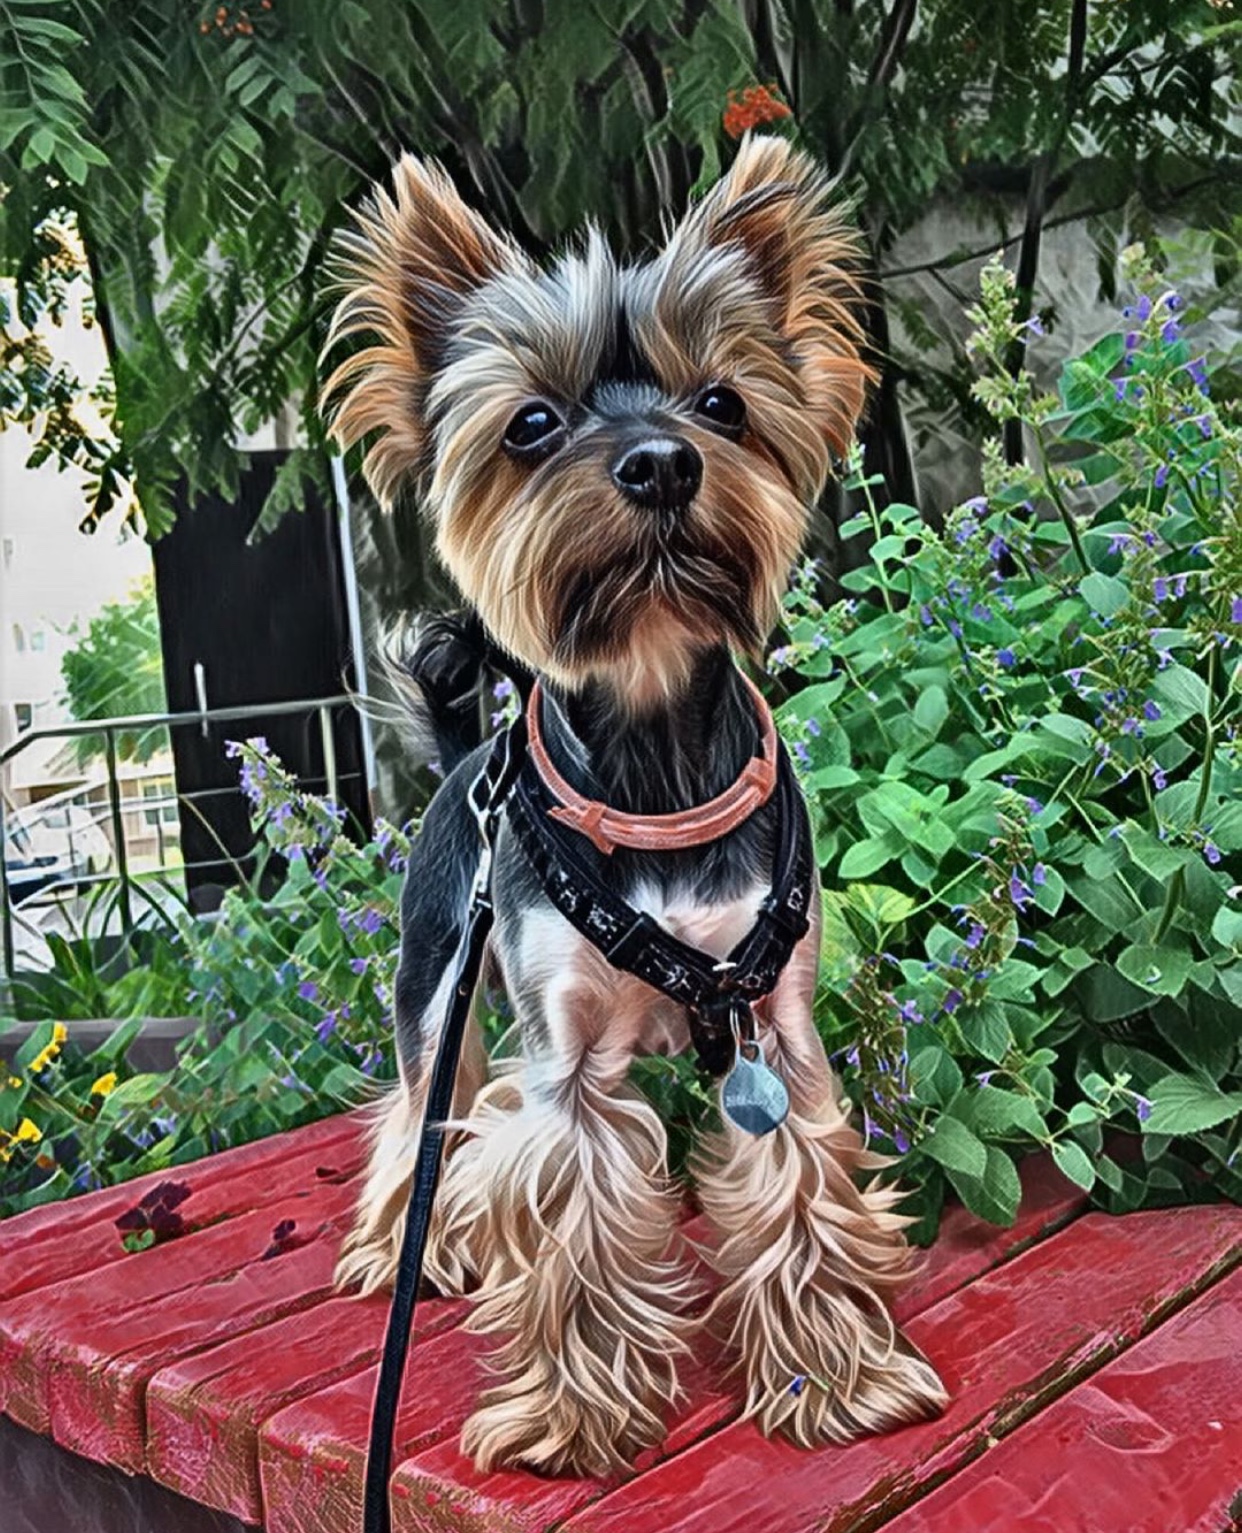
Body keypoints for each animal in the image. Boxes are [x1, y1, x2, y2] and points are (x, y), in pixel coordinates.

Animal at [318, 137, 938, 1477]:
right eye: (532, 423)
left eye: (723, 404)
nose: (659, 462)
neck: (655, 756)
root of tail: (466, 753)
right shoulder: (564, 1066)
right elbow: (571, 1216)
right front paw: (575, 1417)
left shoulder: (775, 1025)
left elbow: (799, 1183)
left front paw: (833, 1375)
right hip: (437, 980)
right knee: (419, 1114)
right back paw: (407, 1245)